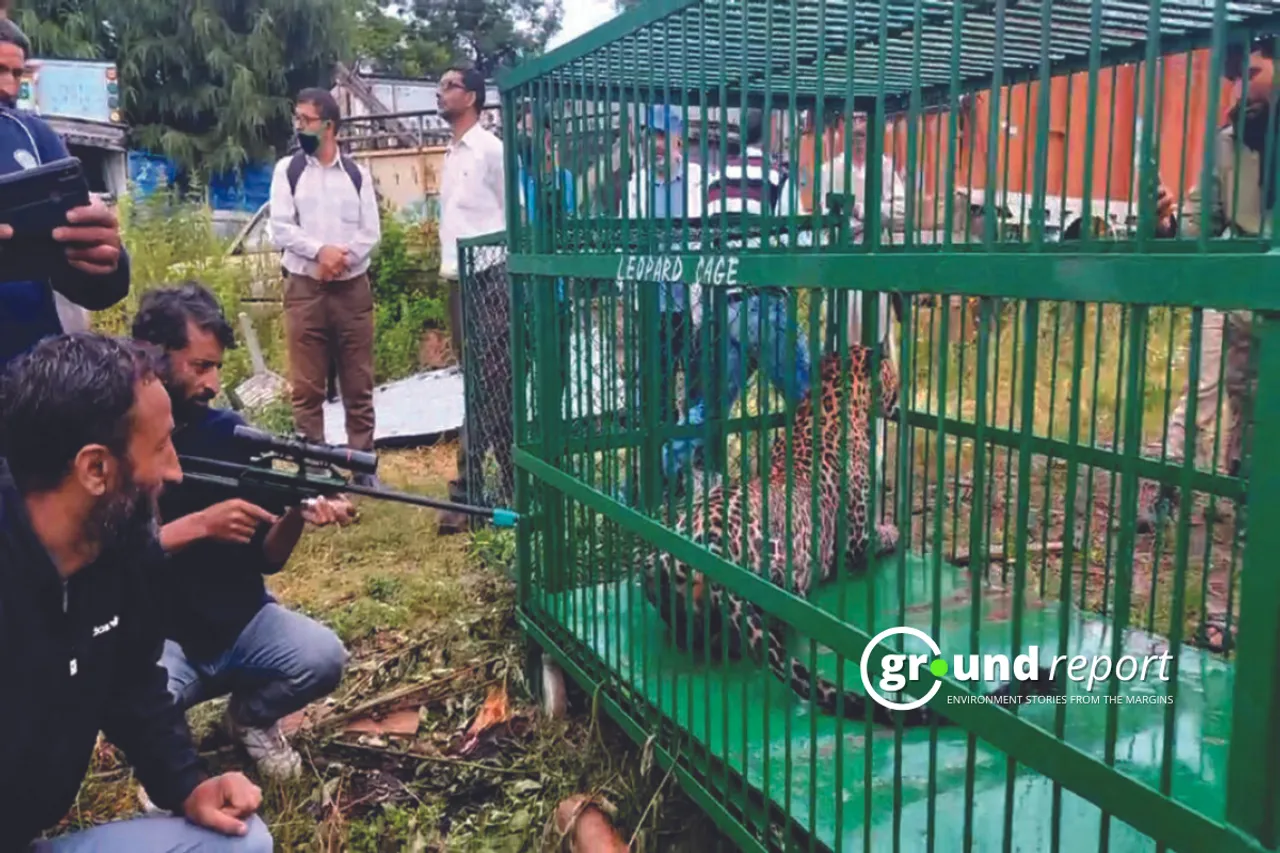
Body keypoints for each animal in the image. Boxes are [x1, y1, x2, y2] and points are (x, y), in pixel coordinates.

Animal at [640, 343, 1059, 722]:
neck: (828, 403)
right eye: (893, 375)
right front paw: (897, 530)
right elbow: (885, 535)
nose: (900, 396)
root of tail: (711, 552)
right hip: (788, 571)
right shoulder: (858, 538)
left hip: (653, 567)